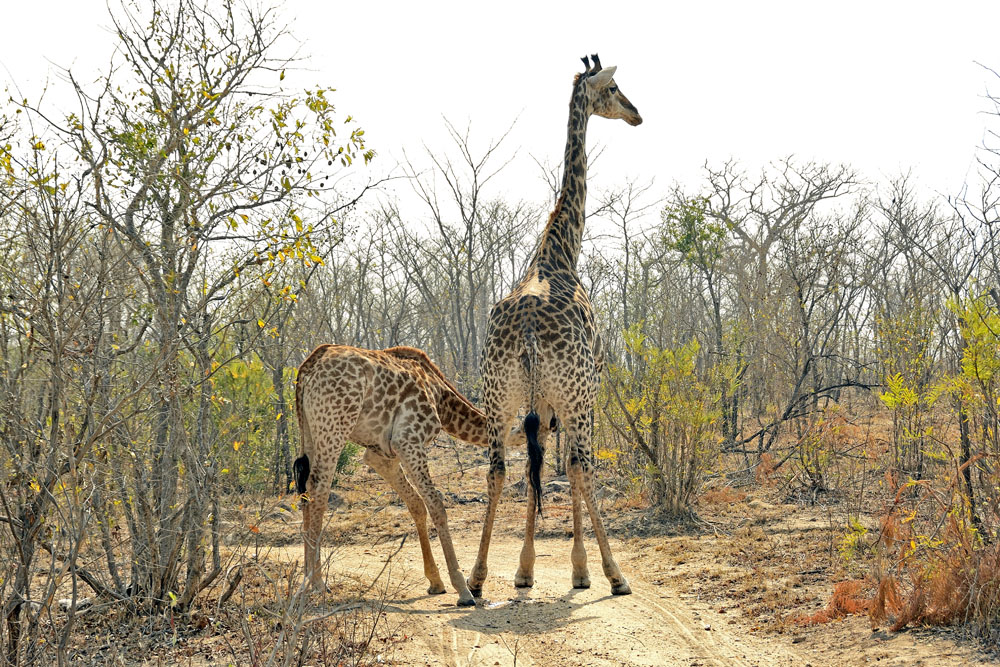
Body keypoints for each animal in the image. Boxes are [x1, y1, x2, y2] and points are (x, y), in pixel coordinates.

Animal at [293, 344, 534, 607]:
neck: (441, 399)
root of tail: (308, 367)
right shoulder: (408, 440)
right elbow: (436, 504)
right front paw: (463, 589)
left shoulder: (381, 455)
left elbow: (416, 504)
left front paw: (435, 581)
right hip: (335, 425)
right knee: (319, 487)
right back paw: (318, 582)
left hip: (309, 429)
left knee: (305, 488)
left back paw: (306, 580)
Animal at [467, 54, 642, 598]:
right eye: (614, 88)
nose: (637, 114)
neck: (559, 250)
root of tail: (525, 332)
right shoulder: (582, 392)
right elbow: (572, 469)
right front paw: (581, 571)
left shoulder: (538, 402)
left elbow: (536, 470)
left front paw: (524, 570)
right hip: (577, 395)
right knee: (581, 466)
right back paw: (615, 574)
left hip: (498, 397)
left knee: (500, 469)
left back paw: (476, 578)